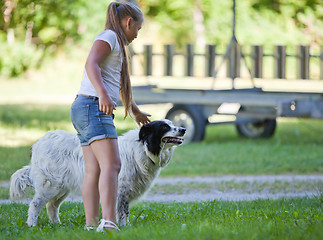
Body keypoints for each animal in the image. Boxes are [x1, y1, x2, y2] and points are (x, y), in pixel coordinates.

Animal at [10, 120, 186, 227]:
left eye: (172, 124)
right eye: (164, 127)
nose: (184, 129)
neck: (142, 147)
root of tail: (38, 143)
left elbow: (124, 210)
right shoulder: (121, 189)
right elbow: (122, 211)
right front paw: (123, 226)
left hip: (62, 187)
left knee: (52, 206)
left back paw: (57, 225)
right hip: (50, 185)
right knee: (35, 204)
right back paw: (32, 225)